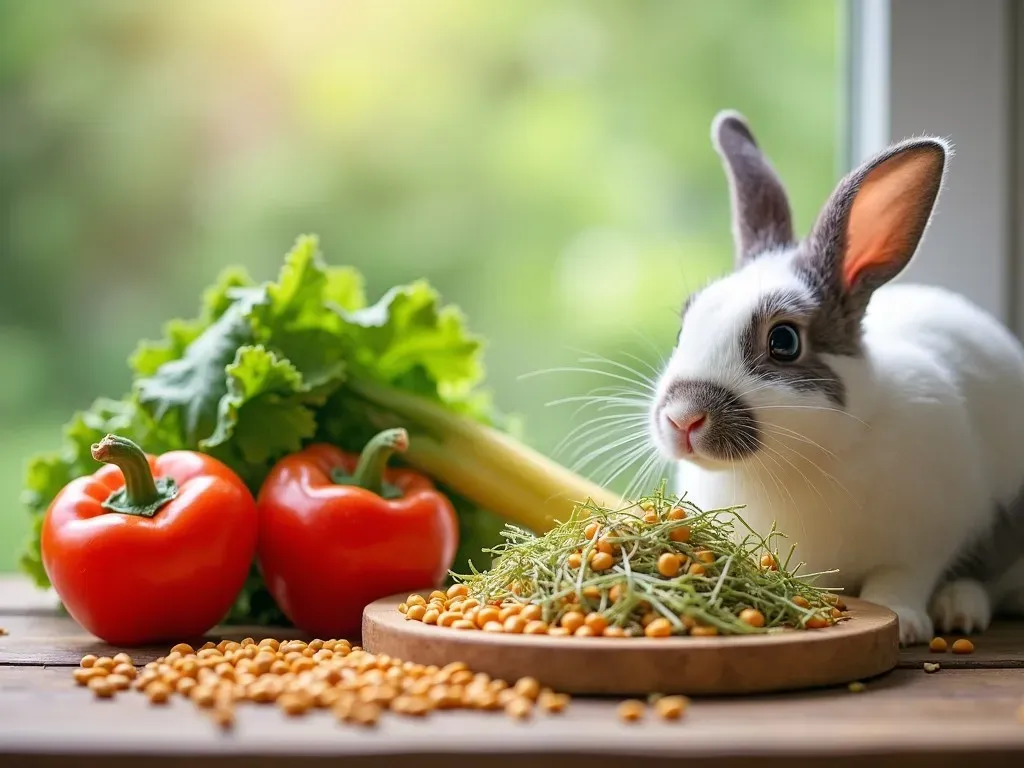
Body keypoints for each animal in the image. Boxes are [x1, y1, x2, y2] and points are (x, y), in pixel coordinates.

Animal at [647, 109, 1024, 651]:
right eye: (684, 326)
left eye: (784, 341)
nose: (683, 419)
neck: (792, 462)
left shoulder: (925, 540)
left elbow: (900, 579)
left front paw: (901, 620)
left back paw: (960, 609)